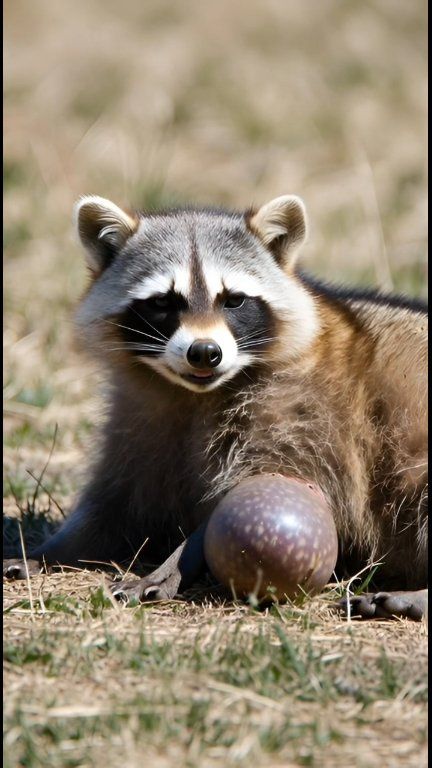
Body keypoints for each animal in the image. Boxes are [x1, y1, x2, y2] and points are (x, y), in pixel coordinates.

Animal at [5, 194, 428, 619]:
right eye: (163, 302)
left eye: (234, 300)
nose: (205, 352)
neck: (193, 394)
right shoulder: (136, 421)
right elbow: (113, 504)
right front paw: (48, 550)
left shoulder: (307, 420)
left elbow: (248, 499)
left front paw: (176, 561)